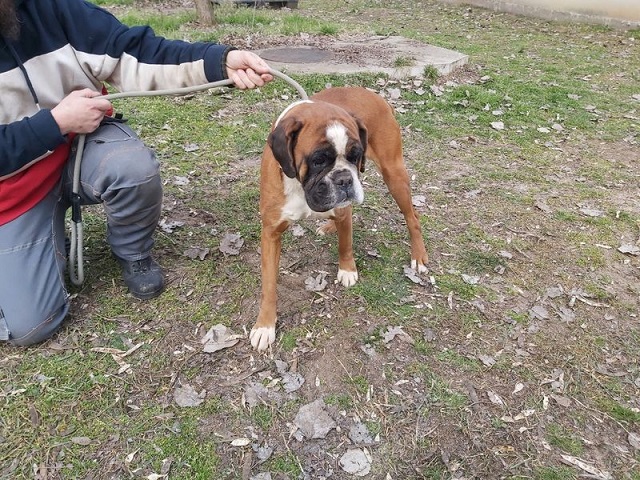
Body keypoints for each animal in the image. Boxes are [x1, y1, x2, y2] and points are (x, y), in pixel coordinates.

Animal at [249, 86, 428, 351]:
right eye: (318, 160)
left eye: (356, 156)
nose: (344, 178)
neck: (301, 187)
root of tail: (374, 94)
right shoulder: (271, 233)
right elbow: (269, 285)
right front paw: (265, 325)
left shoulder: (344, 212)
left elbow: (346, 243)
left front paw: (347, 270)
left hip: (394, 174)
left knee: (412, 216)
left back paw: (418, 255)